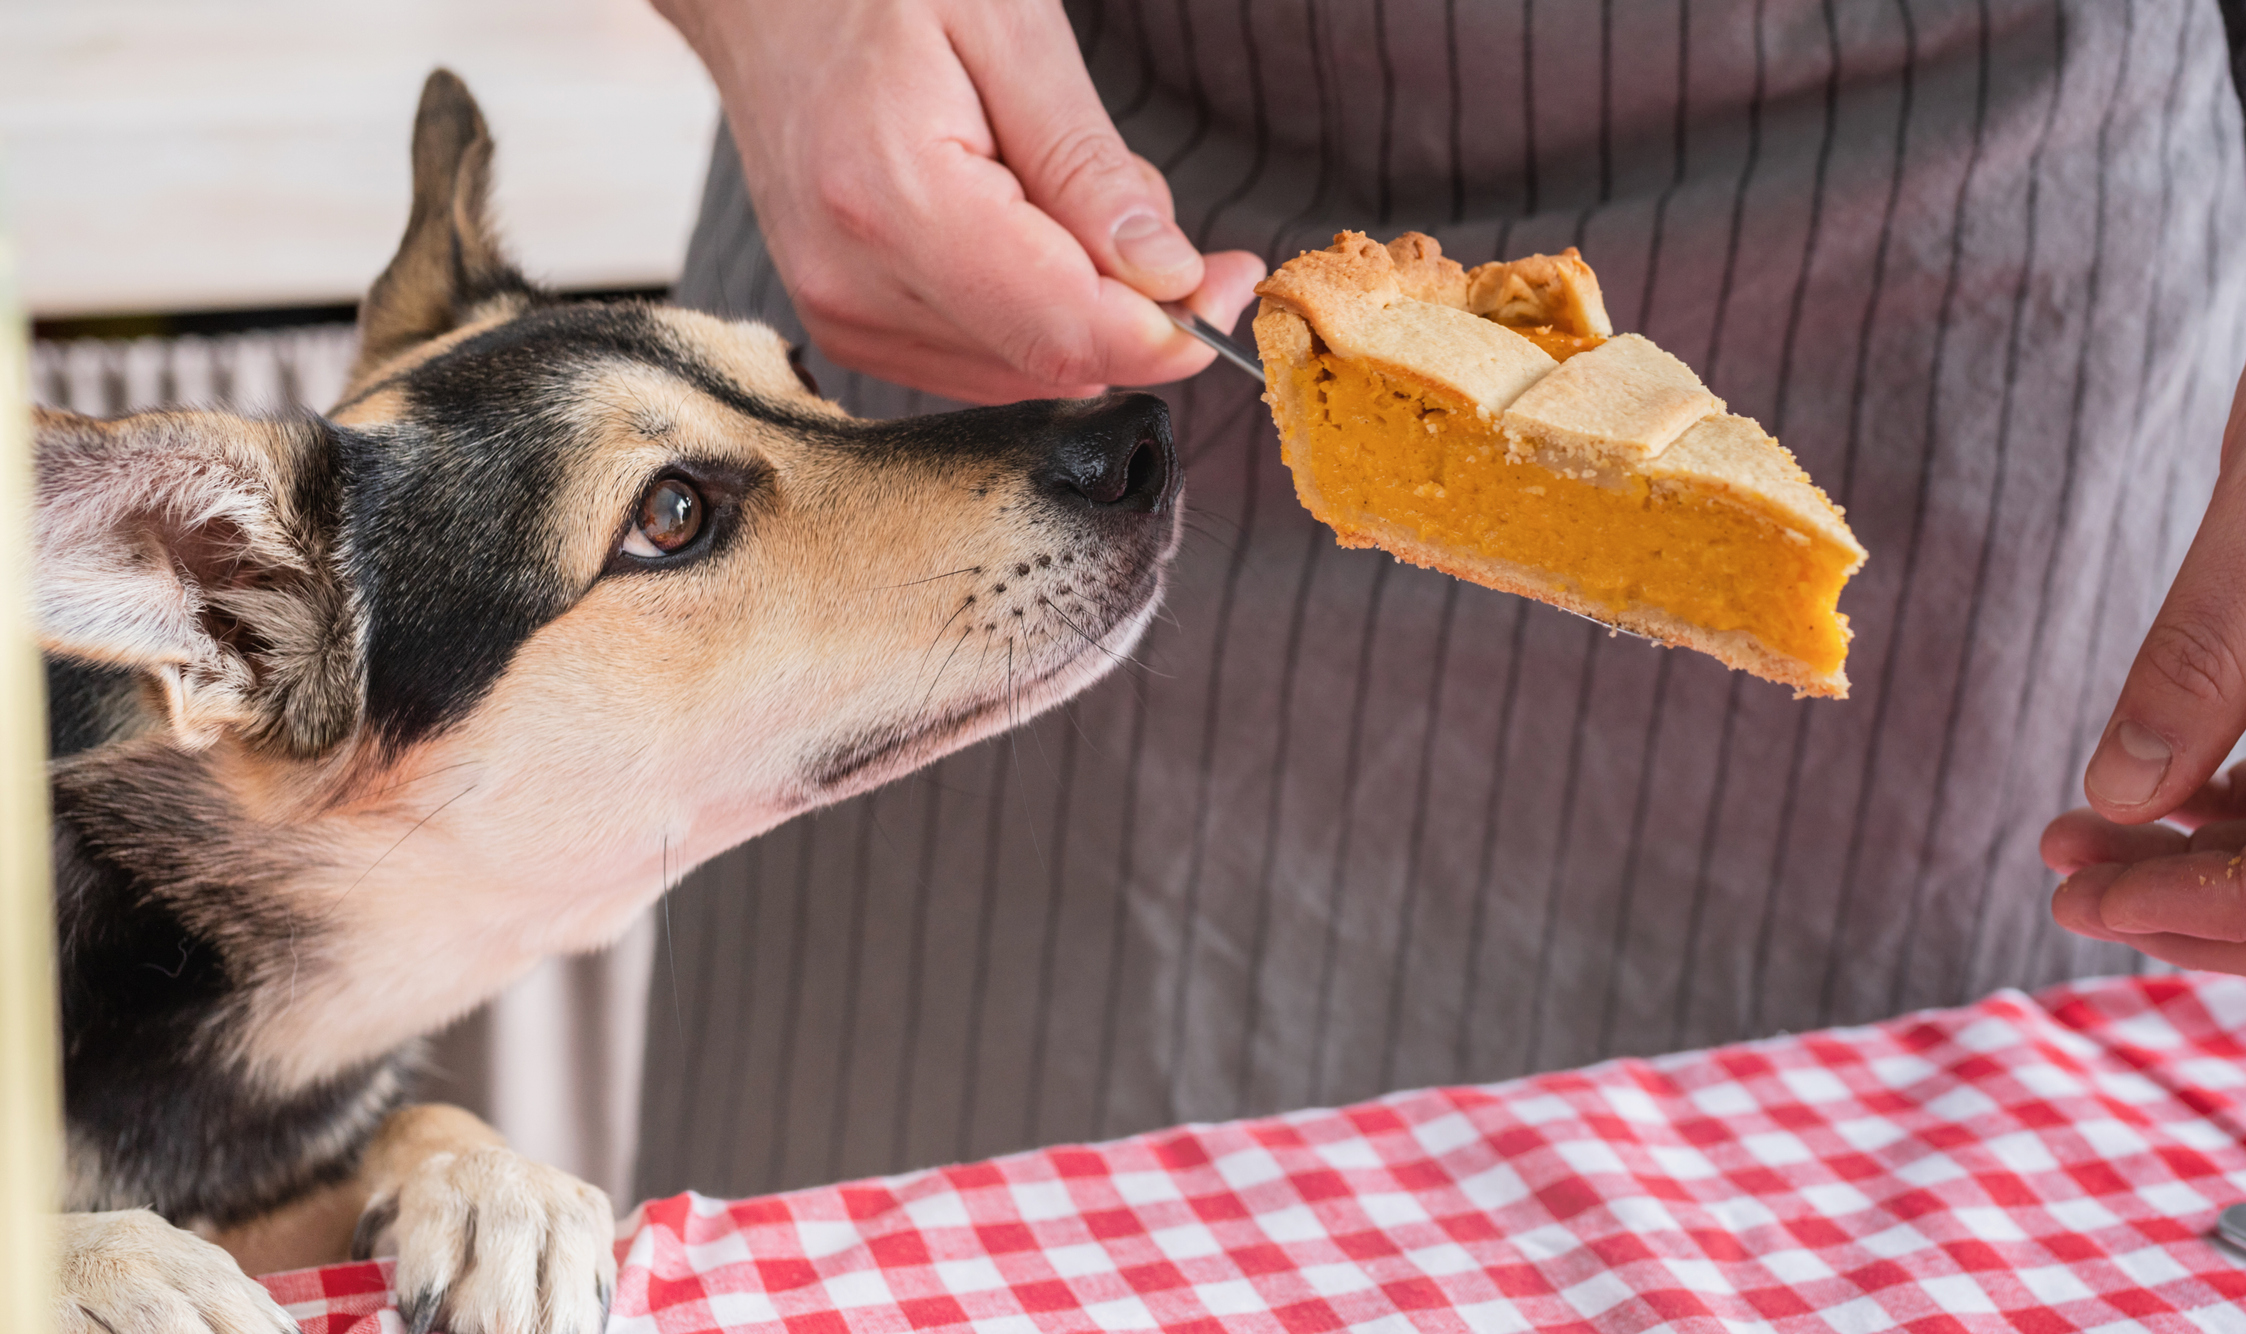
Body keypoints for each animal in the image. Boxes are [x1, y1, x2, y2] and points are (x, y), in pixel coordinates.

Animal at [39, 70, 1176, 1329]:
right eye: (671, 514)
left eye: (802, 376)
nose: (1141, 440)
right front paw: (113, 1258)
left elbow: (414, 1119)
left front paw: (496, 1180)